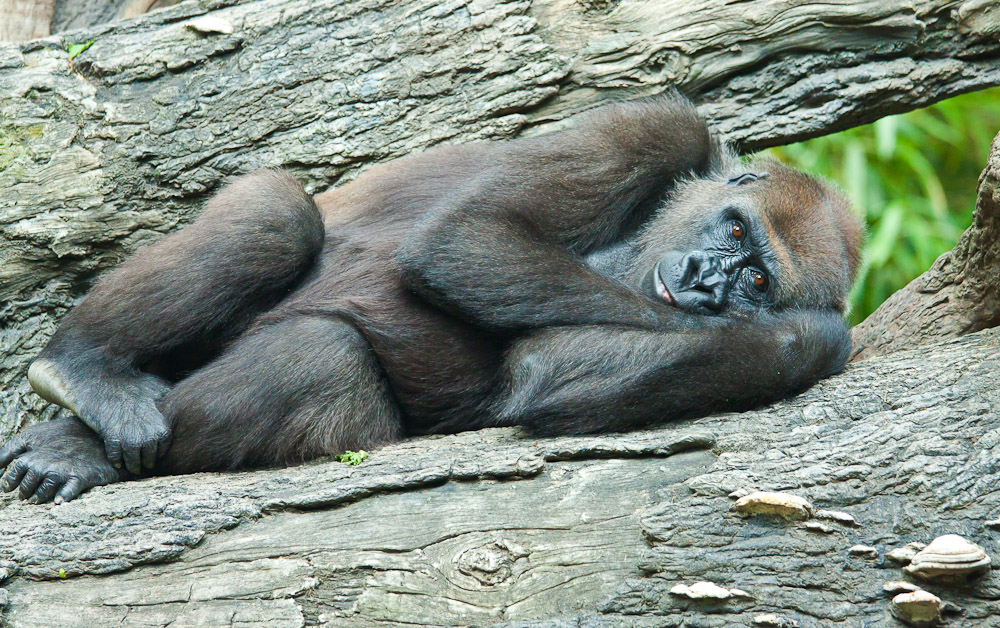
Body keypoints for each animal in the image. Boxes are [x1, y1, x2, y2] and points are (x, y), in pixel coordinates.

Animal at [0, 94, 860, 506]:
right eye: (735, 231)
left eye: (758, 282)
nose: (709, 283)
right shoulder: (657, 129)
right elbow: (463, 238)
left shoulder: (797, 342)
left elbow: (551, 375)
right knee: (278, 217)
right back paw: (79, 373)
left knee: (328, 356)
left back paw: (78, 442)